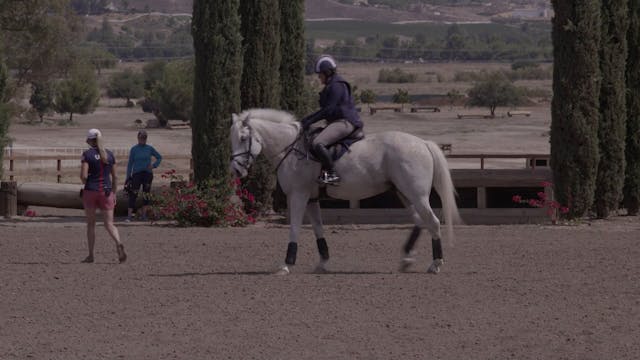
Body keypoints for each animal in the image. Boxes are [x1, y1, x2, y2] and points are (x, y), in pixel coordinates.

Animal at [230, 108, 460, 274]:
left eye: (242, 138)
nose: (236, 170)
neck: (291, 149)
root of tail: (423, 143)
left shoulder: (298, 196)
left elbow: (294, 228)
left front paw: (286, 264)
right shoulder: (311, 199)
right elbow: (318, 229)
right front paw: (323, 263)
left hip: (416, 195)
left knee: (433, 222)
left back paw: (435, 264)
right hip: (404, 193)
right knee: (420, 221)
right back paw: (407, 259)